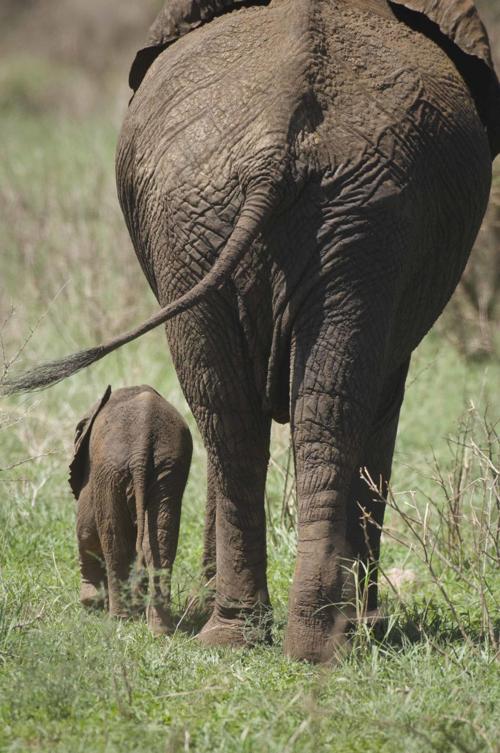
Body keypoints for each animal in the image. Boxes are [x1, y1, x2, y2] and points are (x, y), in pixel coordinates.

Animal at [67, 384, 191, 632]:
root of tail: (142, 446)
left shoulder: (92, 473)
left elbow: (85, 531)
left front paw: (90, 604)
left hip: (110, 470)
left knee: (114, 539)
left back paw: (119, 620)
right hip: (168, 470)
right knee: (161, 539)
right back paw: (160, 630)